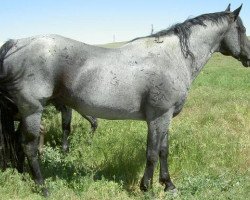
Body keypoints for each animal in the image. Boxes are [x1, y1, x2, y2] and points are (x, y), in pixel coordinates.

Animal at [0, 4, 250, 195]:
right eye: (242, 28)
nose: (248, 56)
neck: (172, 57)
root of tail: (16, 43)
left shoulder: (165, 118)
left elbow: (163, 150)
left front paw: (168, 184)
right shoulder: (158, 117)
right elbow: (152, 153)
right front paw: (147, 187)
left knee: (17, 142)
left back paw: (23, 174)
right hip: (32, 110)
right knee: (29, 146)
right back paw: (43, 187)